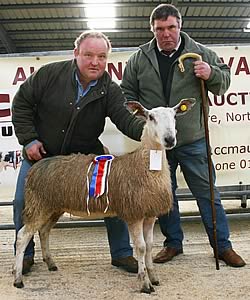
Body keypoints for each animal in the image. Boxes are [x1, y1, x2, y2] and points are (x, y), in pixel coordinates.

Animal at [12, 98, 195, 292]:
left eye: (174, 116)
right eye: (151, 117)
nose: (169, 139)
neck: (146, 164)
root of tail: (35, 167)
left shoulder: (150, 213)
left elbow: (150, 246)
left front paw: (153, 277)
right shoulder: (134, 214)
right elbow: (141, 247)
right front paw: (145, 283)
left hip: (53, 207)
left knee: (44, 231)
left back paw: (50, 263)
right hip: (38, 205)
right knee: (22, 236)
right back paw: (18, 278)